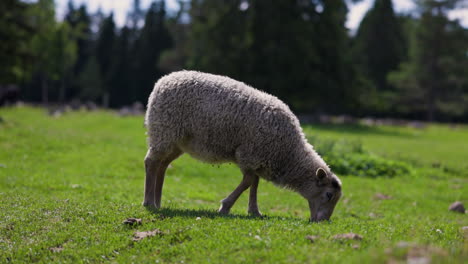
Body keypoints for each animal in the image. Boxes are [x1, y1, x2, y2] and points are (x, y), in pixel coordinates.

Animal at [142, 70, 340, 221]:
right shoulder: (249, 153)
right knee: (151, 162)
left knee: (162, 165)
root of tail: (163, 81)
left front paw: (254, 211)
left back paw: (157, 202)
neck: (289, 153)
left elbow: (255, 183)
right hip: (164, 131)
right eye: (329, 195)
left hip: (176, 141)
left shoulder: (259, 157)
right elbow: (249, 181)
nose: (323, 221)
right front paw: (225, 207)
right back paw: (149, 203)